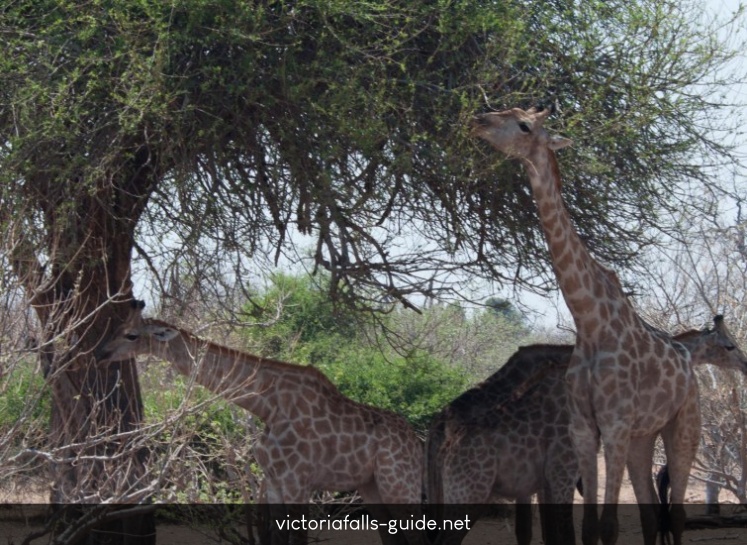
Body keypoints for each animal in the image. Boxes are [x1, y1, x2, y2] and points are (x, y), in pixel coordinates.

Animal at [98, 300, 424, 545]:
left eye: (131, 335)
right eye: (116, 329)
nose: (101, 353)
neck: (267, 406)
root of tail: (415, 441)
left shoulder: (296, 482)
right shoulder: (275, 484)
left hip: (399, 483)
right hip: (372, 487)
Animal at [471, 107, 702, 545]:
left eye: (525, 125)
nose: (480, 120)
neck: (590, 322)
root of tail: (690, 366)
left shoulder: (614, 425)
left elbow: (608, 526)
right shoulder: (583, 428)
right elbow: (590, 525)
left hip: (682, 425)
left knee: (678, 511)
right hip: (642, 437)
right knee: (651, 511)